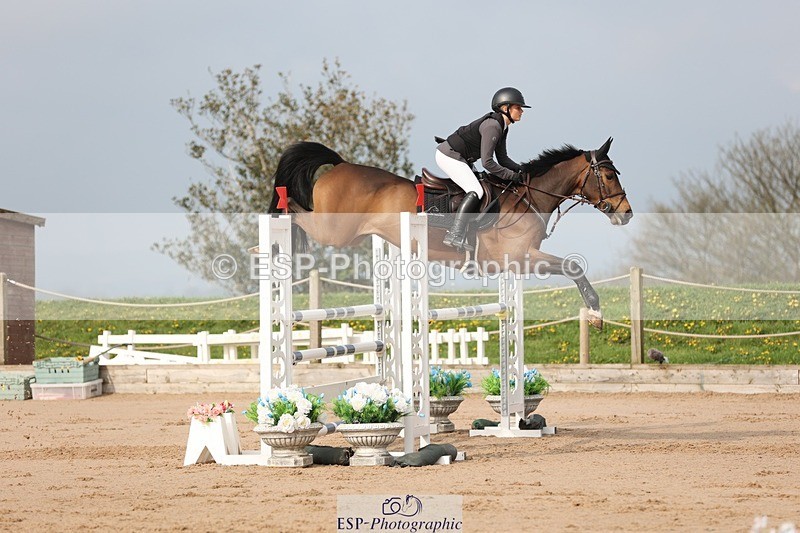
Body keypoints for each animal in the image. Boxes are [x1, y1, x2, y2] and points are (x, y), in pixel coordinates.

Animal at [267, 137, 633, 328]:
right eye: (609, 176)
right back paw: (272, 234)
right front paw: (596, 314)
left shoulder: (517, 262)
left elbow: (570, 267)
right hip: (334, 231)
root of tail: (340, 164)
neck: (529, 197)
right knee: (297, 211)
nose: (626, 214)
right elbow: (573, 266)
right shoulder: (519, 257)